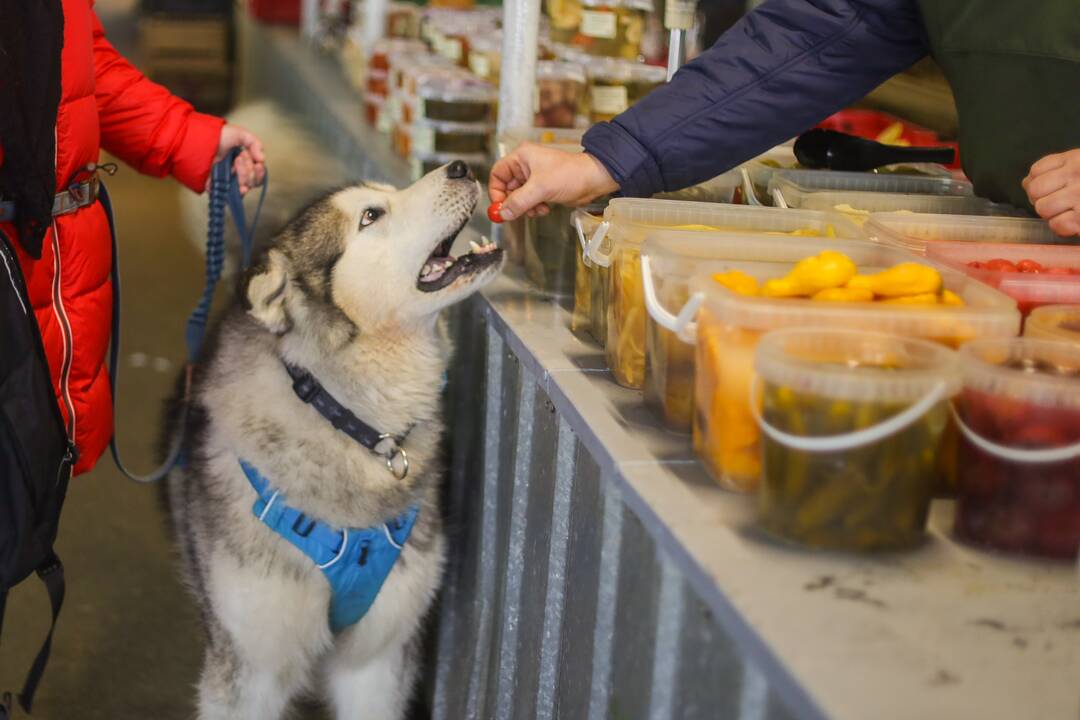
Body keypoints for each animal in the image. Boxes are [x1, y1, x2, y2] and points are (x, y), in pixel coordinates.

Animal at [169, 158, 505, 720]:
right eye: (372, 216)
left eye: (393, 191)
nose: (460, 166)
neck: (349, 420)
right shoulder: (250, 671)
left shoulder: (377, 661)